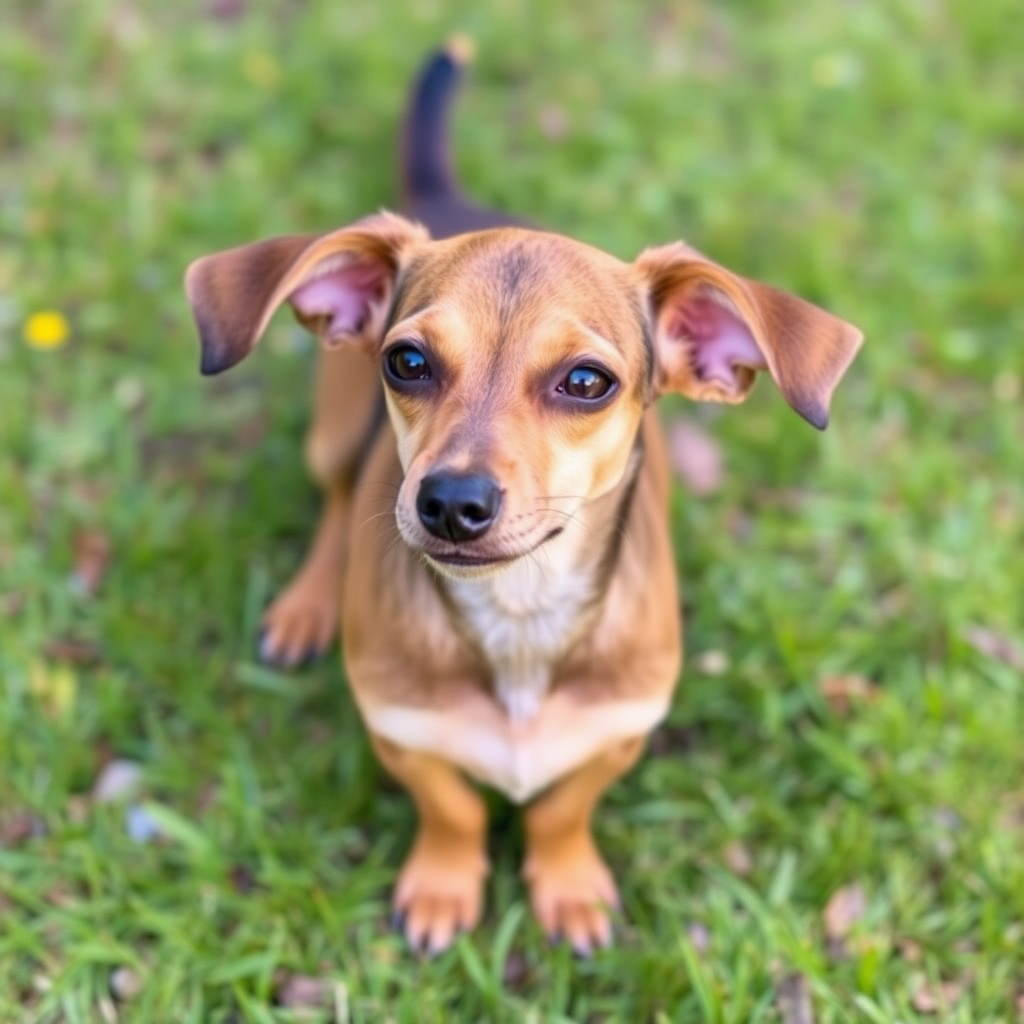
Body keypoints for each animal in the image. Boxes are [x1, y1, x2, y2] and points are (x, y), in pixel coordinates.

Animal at [184, 39, 864, 950]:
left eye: (586, 381)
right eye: (407, 361)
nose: (449, 502)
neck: (519, 615)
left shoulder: (617, 732)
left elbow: (558, 811)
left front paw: (569, 887)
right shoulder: (402, 732)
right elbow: (455, 809)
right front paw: (444, 885)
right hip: (330, 436)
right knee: (334, 497)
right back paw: (307, 605)